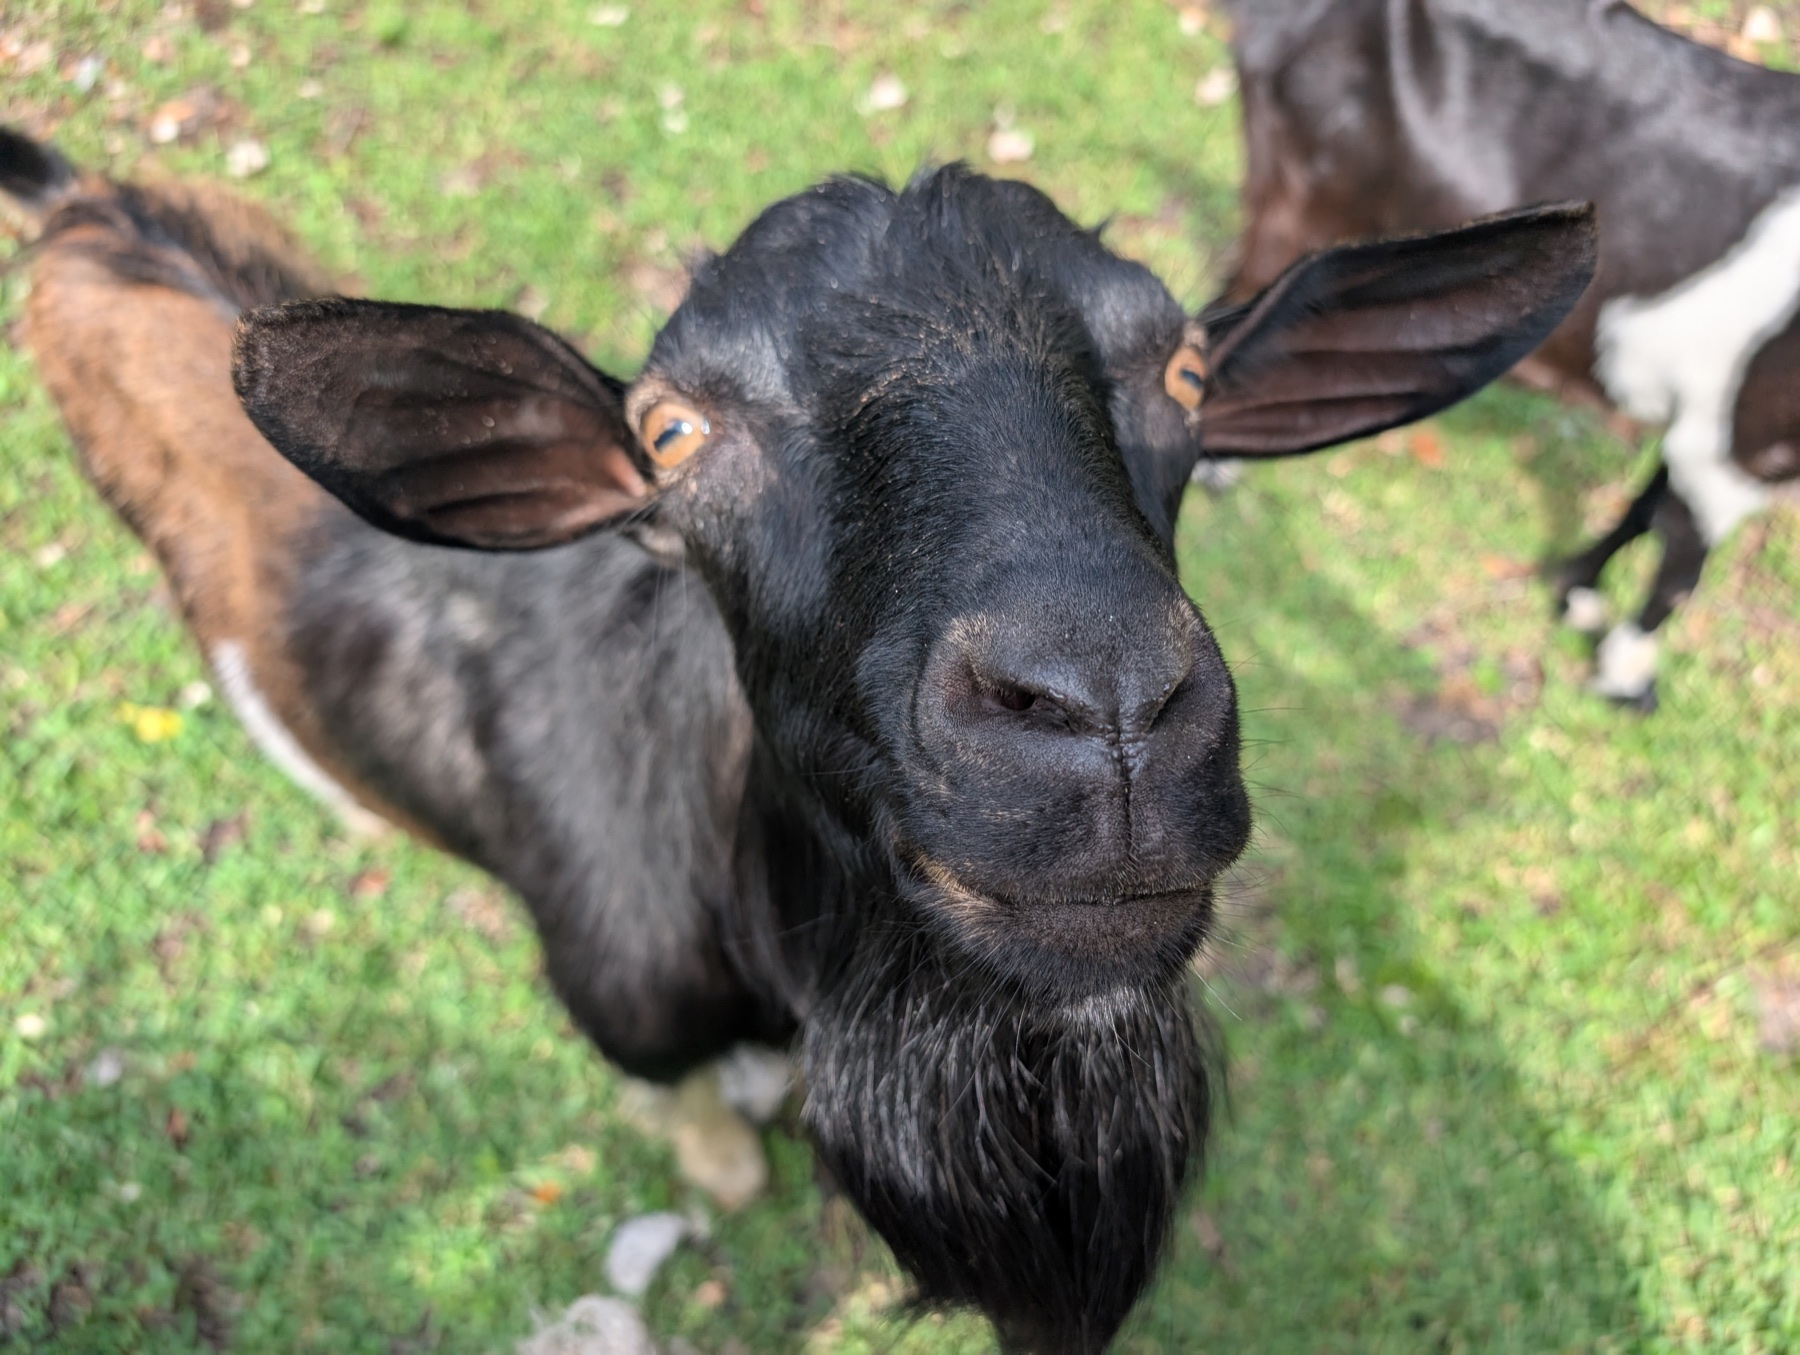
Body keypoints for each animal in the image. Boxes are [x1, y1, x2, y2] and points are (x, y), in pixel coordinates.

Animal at [2, 126, 1595, 1352]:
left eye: (1189, 372)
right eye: (669, 433)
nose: (1103, 711)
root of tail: (81, 201)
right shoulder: (622, 1004)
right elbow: (695, 1129)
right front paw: (727, 1163)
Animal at [1225, 0, 1800, 711]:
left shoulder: (1710, 414)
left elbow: (1644, 506)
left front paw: (1577, 592)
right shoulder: (1744, 445)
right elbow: (1679, 567)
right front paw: (1626, 676)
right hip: (1309, 201)